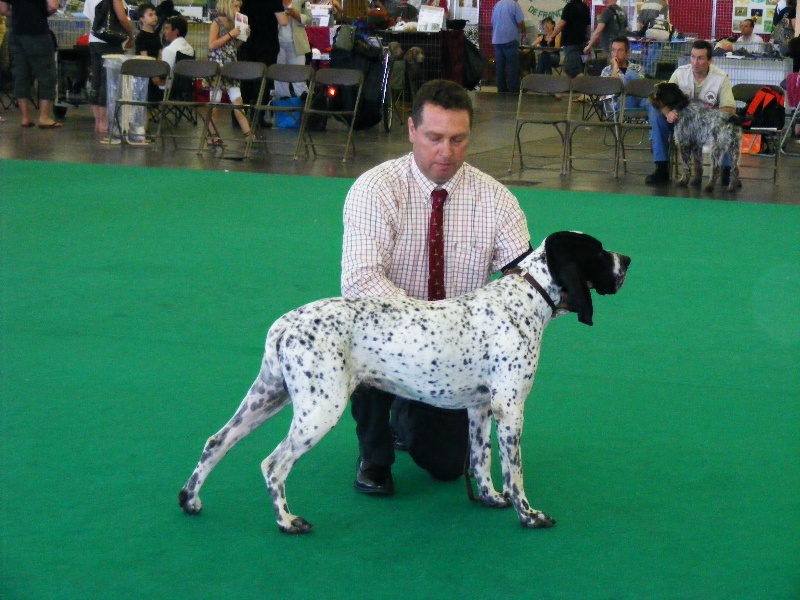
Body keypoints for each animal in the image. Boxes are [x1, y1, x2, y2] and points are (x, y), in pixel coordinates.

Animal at [180, 231, 632, 536]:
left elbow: (480, 461)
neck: (524, 301)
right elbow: (514, 473)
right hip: (319, 409)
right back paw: (287, 521)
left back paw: (191, 499)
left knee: (216, 441)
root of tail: (284, 325)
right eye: (597, 251)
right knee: (274, 464)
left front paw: (489, 499)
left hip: (268, 396)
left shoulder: (480, 409)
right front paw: (529, 515)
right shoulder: (511, 409)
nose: (627, 259)